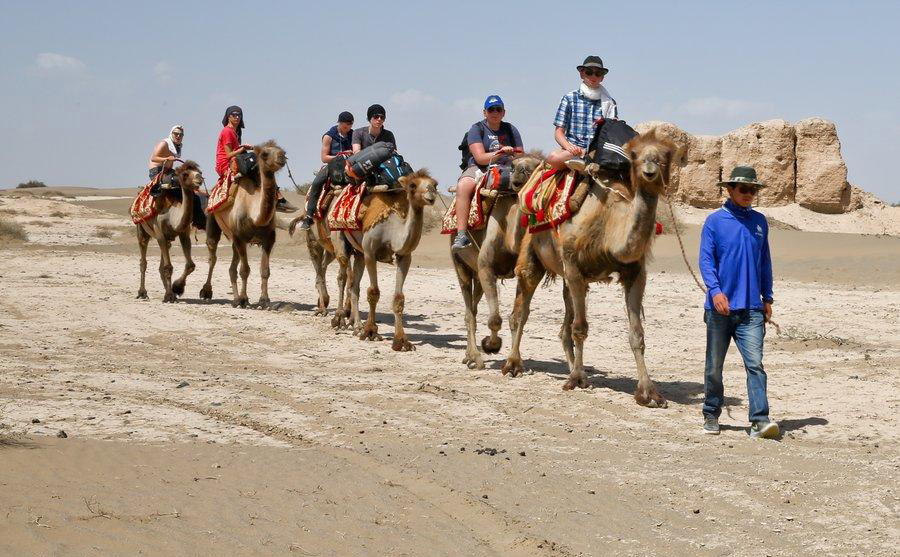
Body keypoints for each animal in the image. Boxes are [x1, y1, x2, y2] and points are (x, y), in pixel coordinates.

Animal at [136, 159, 205, 302]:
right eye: (185, 174)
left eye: (200, 172)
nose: (199, 178)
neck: (172, 215)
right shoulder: (159, 233)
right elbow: (168, 267)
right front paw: (169, 295)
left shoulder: (183, 233)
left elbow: (190, 265)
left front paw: (176, 288)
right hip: (141, 230)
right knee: (143, 261)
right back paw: (142, 293)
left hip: (167, 240)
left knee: (161, 264)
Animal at [200, 138, 284, 304]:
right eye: (265, 154)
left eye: (281, 150)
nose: (282, 156)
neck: (255, 215)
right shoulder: (240, 236)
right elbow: (245, 270)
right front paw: (245, 299)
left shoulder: (269, 238)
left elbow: (265, 270)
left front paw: (264, 300)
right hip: (213, 220)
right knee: (212, 256)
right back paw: (207, 292)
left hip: (233, 238)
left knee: (232, 267)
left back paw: (235, 298)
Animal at [338, 172, 436, 350]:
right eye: (412, 185)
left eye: (435, 184)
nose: (431, 194)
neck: (391, 231)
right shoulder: (370, 253)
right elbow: (373, 292)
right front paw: (370, 332)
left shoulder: (404, 256)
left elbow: (399, 298)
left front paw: (401, 341)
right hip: (340, 240)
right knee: (342, 276)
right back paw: (339, 319)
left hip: (359, 253)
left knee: (354, 286)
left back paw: (356, 325)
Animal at [454, 152, 544, 370]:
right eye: (513, 165)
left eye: (537, 166)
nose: (519, 172)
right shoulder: (486, 267)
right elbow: (495, 318)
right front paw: (491, 345)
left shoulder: (528, 273)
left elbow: (518, 317)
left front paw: (514, 363)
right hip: (460, 264)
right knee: (469, 312)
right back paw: (475, 357)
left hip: (476, 274)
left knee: (474, 308)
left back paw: (469, 355)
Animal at [500, 132, 684, 406]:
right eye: (635, 155)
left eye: (665, 156)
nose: (650, 171)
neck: (609, 223)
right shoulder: (574, 266)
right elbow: (580, 329)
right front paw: (576, 380)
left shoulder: (635, 273)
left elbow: (637, 334)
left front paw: (648, 393)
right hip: (533, 255)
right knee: (521, 310)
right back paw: (513, 365)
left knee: (563, 326)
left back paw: (571, 367)